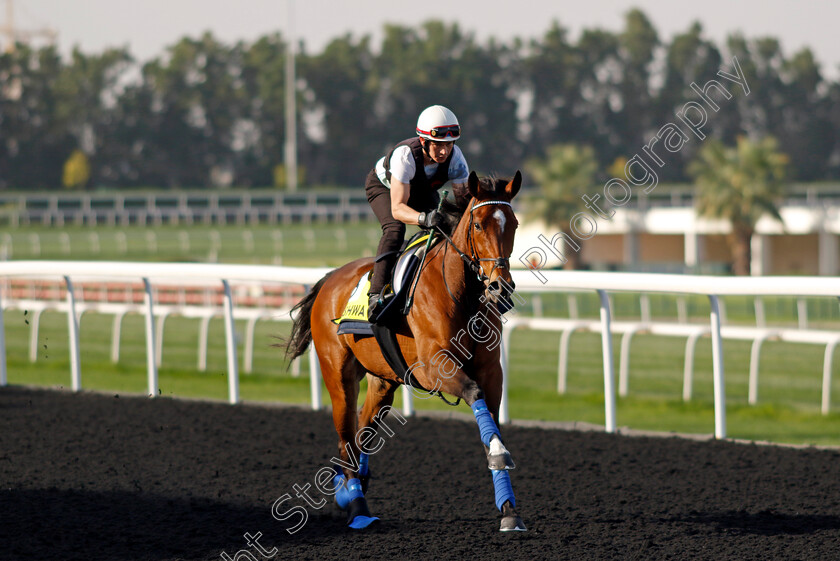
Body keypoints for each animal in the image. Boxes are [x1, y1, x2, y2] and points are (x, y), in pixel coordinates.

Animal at [288, 171, 524, 528]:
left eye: (514, 224)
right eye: (478, 224)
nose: (501, 287)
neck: (461, 295)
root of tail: (330, 278)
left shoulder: (490, 371)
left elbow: (491, 421)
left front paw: (509, 509)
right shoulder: (433, 368)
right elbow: (473, 392)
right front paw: (499, 457)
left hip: (383, 381)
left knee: (362, 432)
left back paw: (349, 487)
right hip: (338, 375)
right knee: (346, 436)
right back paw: (357, 507)